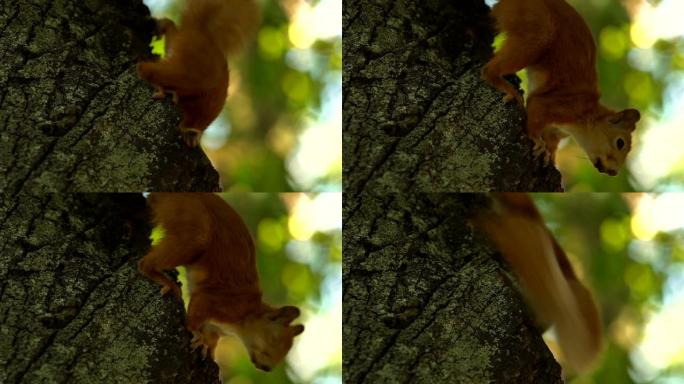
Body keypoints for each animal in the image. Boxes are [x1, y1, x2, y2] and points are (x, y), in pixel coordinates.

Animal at [136, 0, 260, 147]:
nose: (192, 143)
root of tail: (202, 34)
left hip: (179, 49)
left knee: (171, 31)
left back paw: (163, 25)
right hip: (187, 67)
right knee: (151, 70)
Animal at [138, 194, 304, 370]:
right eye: (273, 339)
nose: (266, 368)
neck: (243, 320)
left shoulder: (216, 327)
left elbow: (212, 336)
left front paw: (210, 348)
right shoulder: (218, 301)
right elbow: (196, 315)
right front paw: (197, 334)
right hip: (190, 220)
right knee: (145, 264)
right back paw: (164, 280)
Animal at [480, 0, 640, 176]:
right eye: (620, 143)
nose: (613, 172)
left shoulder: (556, 131)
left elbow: (552, 142)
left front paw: (550, 156)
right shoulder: (562, 105)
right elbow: (535, 111)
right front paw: (537, 141)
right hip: (537, 29)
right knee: (488, 71)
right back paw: (507, 88)